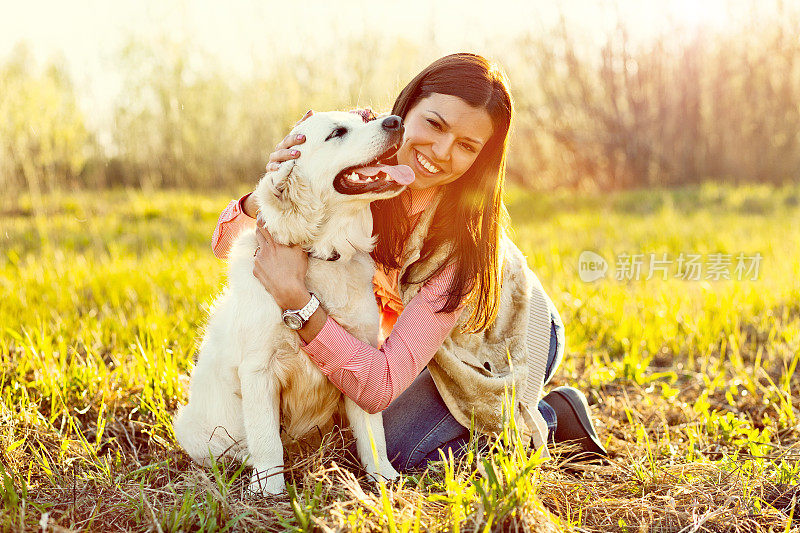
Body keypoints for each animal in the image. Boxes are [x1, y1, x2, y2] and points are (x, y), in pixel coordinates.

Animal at [175, 110, 412, 492]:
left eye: (365, 119)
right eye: (337, 132)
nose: (395, 121)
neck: (322, 253)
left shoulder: (364, 360)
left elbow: (373, 432)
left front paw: (384, 478)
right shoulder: (258, 368)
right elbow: (266, 439)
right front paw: (268, 489)